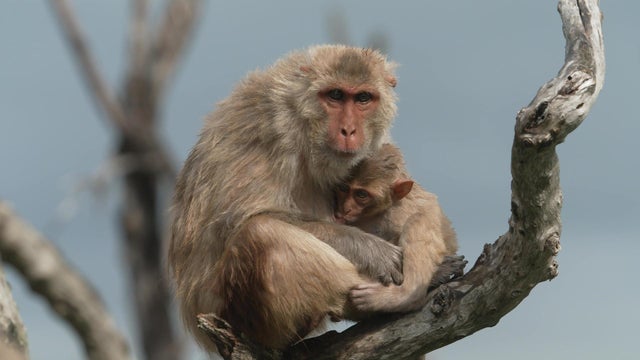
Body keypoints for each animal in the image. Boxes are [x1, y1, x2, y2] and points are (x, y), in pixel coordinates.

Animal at [170, 45, 408, 352]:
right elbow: (238, 221)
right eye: (335, 95)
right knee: (261, 234)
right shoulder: (269, 129)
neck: (303, 122)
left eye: (363, 98)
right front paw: (371, 249)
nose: (348, 130)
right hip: (235, 313)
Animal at [336, 143, 456, 312]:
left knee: (416, 222)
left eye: (361, 195)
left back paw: (405, 296)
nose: (346, 208)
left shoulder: (400, 213)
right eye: (344, 188)